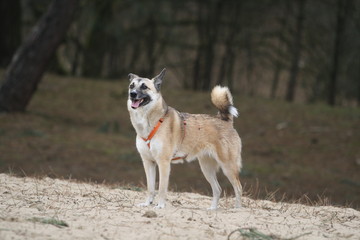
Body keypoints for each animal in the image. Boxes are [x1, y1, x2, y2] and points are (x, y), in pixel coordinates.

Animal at [126, 68, 242, 209]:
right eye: (131, 86)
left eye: (144, 87)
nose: (132, 94)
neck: (150, 121)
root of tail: (225, 121)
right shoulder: (148, 162)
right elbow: (150, 188)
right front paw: (147, 203)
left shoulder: (163, 163)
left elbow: (162, 188)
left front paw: (160, 205)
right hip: (206, 168)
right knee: (218, 189)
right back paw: (213, 209)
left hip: (228, 166)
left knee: (238, 188)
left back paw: (237, 209)